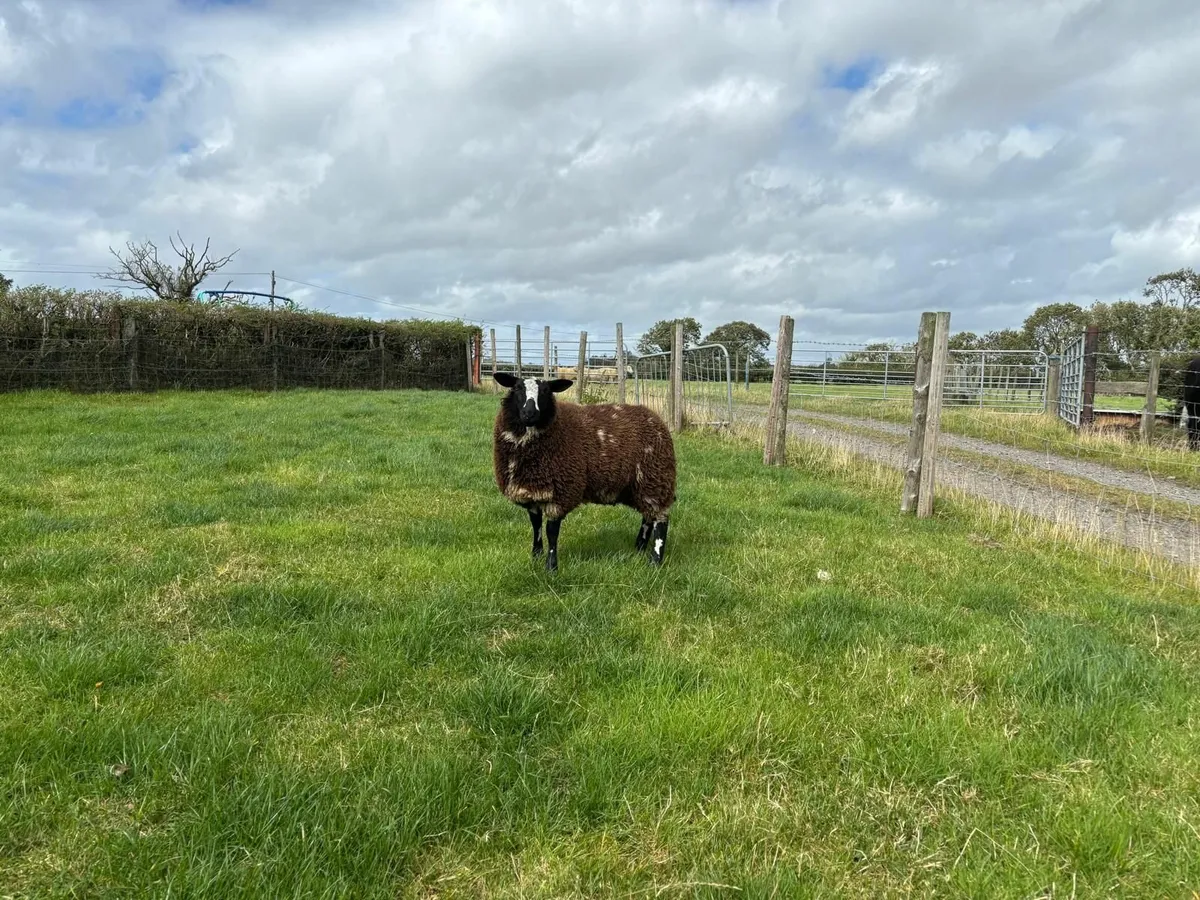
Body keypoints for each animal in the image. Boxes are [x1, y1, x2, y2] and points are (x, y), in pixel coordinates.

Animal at [491, 372, 677, 571]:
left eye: (546, 391)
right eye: (517, 388)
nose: (530, 413)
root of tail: (654, 417)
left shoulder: (561, 492)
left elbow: (551, 532)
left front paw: (551, 567)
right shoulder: (531, 493)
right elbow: (536, 525)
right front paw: (536, 555)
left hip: (656, 477)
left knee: (661, 521)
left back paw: (655, 561)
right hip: (639, 486)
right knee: (648, 517)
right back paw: (639, 548)